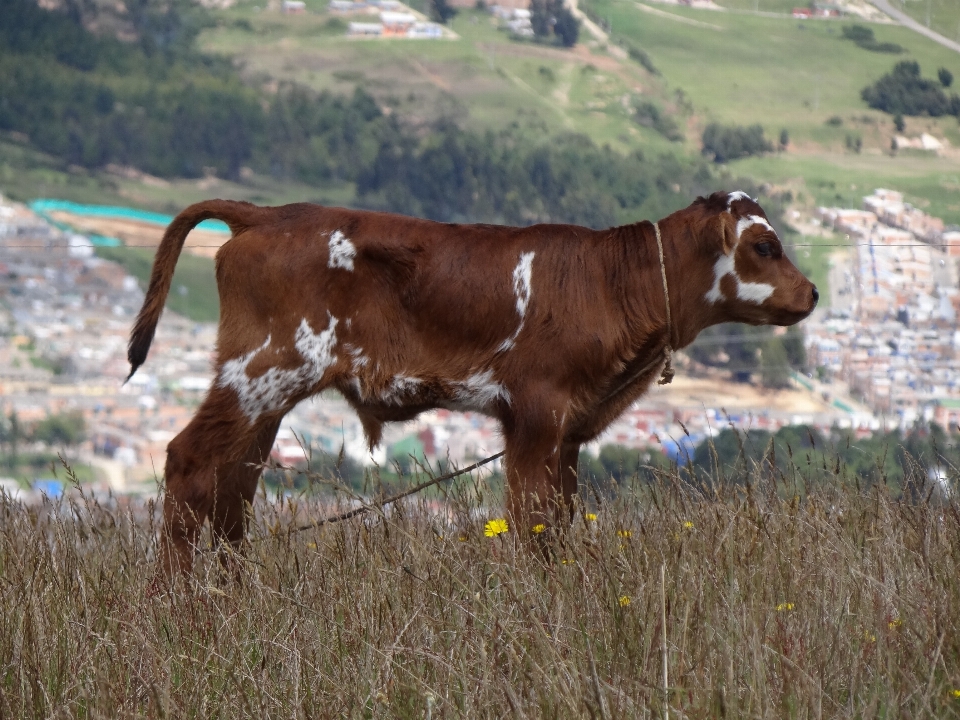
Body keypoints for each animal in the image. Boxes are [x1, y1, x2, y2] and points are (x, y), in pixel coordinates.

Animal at [127, 188, 816, 576]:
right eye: (765, 245)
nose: (811, 292)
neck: (611, 280)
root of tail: (266, 215)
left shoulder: (566, 433)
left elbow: (558, 518)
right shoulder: (536, 414)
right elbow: (533, 521)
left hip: (263, 394)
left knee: (233, 489)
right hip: (263, 372)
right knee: (190, 463)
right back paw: (176, 603)